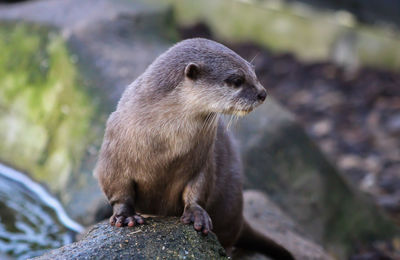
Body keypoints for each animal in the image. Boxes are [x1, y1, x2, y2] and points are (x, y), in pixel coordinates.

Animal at [94, 37, 294, 258]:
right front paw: (125, 216)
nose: (262, 93)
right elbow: (117, 188)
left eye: (254, 71)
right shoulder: (114, 153)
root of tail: (240, 217)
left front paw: (196, 214)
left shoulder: (203, 159)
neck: (166, 142)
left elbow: (199, 187)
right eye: (236, 80)